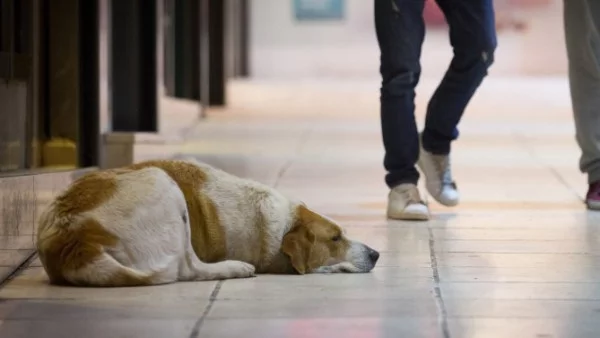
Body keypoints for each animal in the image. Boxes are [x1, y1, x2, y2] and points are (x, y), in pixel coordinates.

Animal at [36, 157, 380, 286]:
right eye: (335, 238)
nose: (376, 253)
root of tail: (75, 240)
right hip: (162, 182)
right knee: (188, 268)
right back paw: (235, 268)